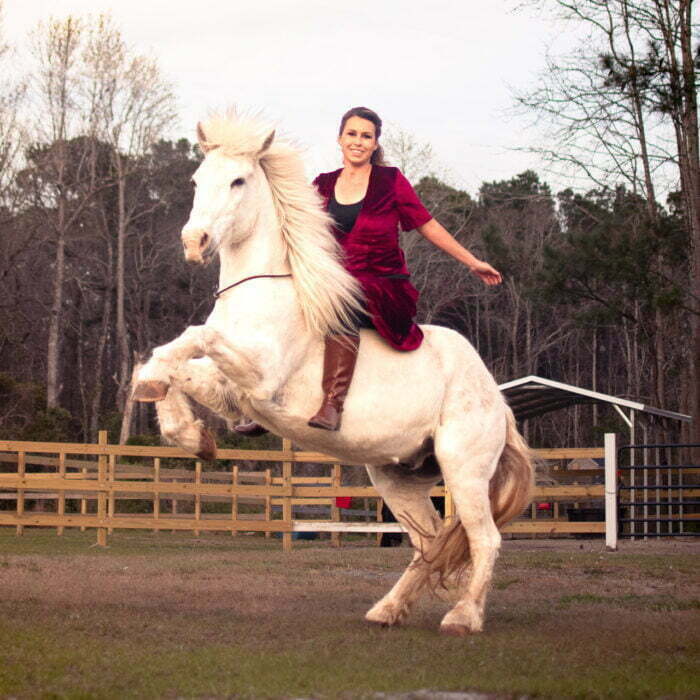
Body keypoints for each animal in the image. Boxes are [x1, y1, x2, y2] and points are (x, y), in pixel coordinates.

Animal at [132, 111, 533, 636]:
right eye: (197, 180)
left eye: (239, 180)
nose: (194, 243)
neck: (262, 292)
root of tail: (498, 401)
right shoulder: (233, 391)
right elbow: (176, 371)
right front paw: (189, 432)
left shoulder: (259, 376)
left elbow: (196, 337)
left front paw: (162, 394)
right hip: (397, 478)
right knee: (428, 543)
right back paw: (388, 610)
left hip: (463, 470)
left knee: (484, 538)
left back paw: (463, 617)